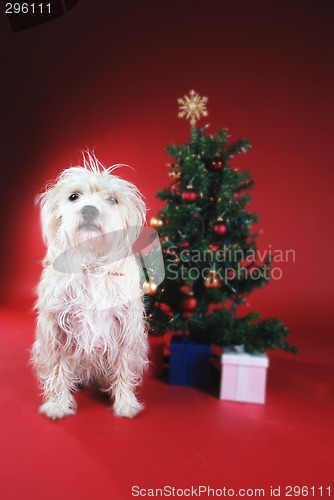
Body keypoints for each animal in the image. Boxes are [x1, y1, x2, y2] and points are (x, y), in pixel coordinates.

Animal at [31, 154, 149, 420]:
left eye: (112, 199)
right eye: (74, 196)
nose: (89, 209)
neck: (91, 261)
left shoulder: (127, 327)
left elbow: (124, 367)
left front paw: (125, 403)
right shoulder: (55, 328)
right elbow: (56, 368)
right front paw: (57, 404)